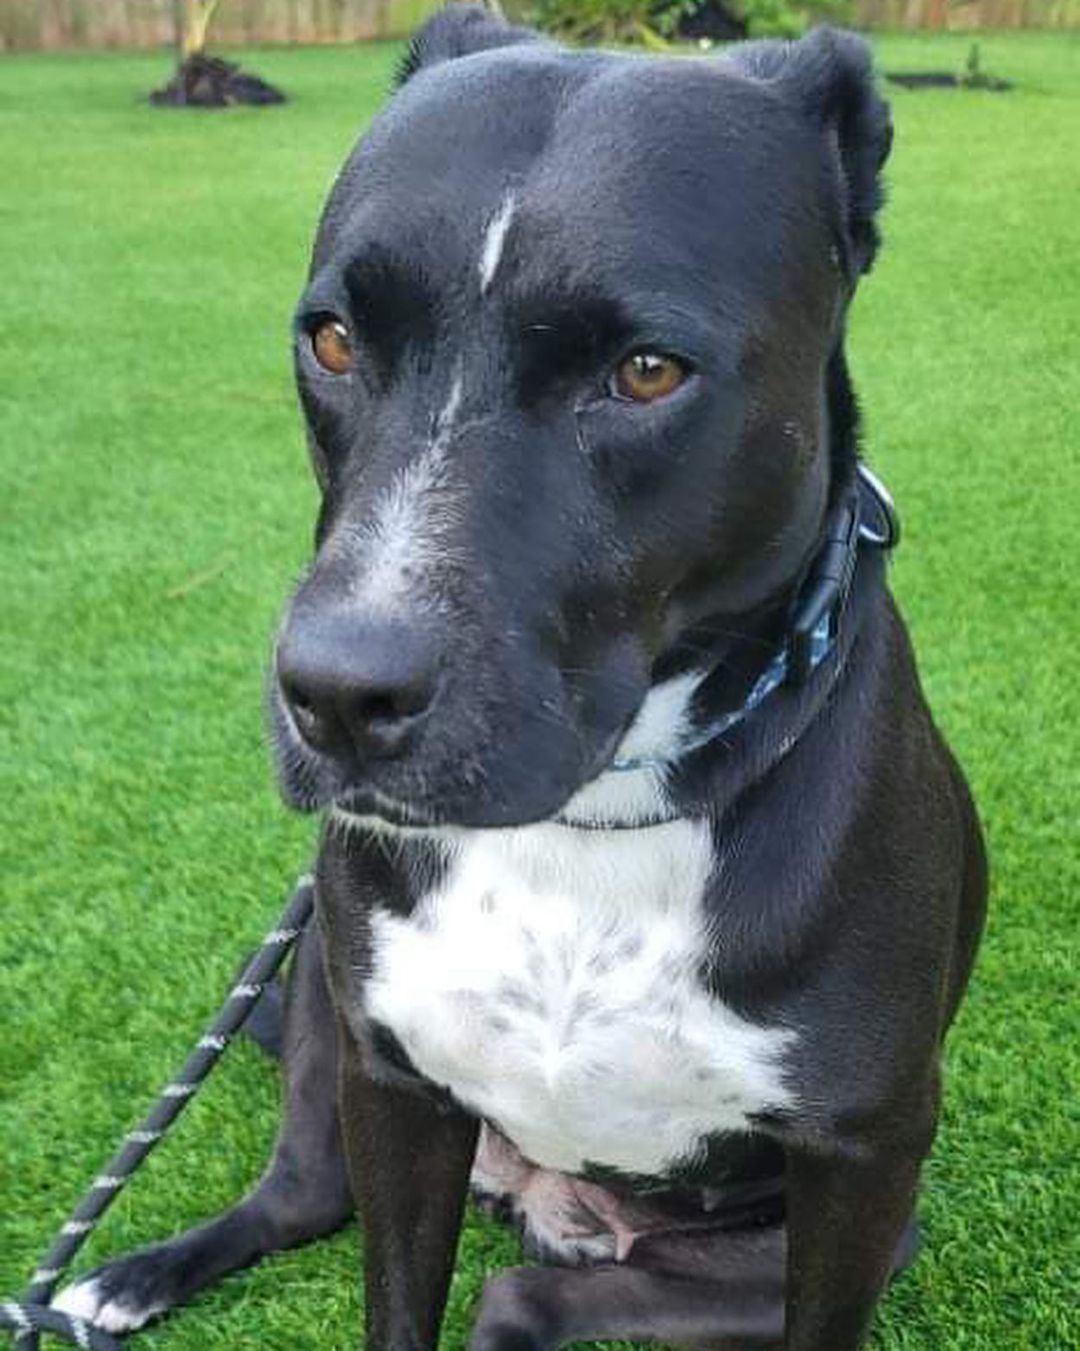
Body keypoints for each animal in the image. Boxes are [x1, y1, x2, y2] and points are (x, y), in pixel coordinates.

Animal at [57, 7, 989, 1340]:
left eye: (647, 370)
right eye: (332, 340)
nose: (337, 695)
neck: (595, 822)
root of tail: (540, 1195)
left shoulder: (862, 1164)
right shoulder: (391, 1086)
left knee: (518, 1300)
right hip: (320, 1009)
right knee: (303, 1199)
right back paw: (124, 1277)